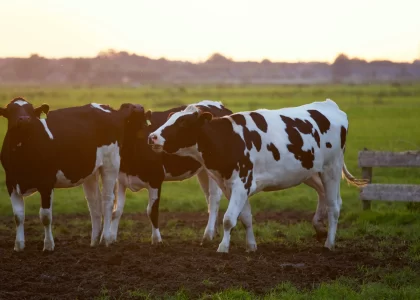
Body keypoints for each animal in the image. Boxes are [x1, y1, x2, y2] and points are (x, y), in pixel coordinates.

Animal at [0, 98, 144, 251]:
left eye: (31, 111)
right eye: (11, 111)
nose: (25, 119)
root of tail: (110, 109)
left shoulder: (46, 183)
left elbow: (45, 216)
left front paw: (48, 245)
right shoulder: (11, 183)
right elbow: (18, 216)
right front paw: (18, 245)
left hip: (110, 164)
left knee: (108, 201)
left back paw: (105, 239)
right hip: (91, 171)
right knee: (94, 203)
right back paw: (94, 241)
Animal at [108, 99, 233, 245]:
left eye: (142, 123)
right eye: (125, 108)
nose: (139, 107)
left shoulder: (155, 179)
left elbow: (152, 211)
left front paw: (157, 240)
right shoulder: (121, 180)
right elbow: (117, 210)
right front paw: (111, 238)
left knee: (213, 199)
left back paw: (208, 235)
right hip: (203, 171)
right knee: (208, 198)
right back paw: (214, 231)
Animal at [148, 99, 368, 253]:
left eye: (183, 122)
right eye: (169, 118)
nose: (152, 137)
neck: (228, 139)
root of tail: (330, 105)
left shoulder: (241, 183)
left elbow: (229, 219)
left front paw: (223, 247)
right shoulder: (232, 186)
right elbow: (245, 217)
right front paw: (251, 246)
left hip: (331, 169)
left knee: (334, 206)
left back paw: (329, 243)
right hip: (310, 172)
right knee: (324, 195)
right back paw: (319, 227)